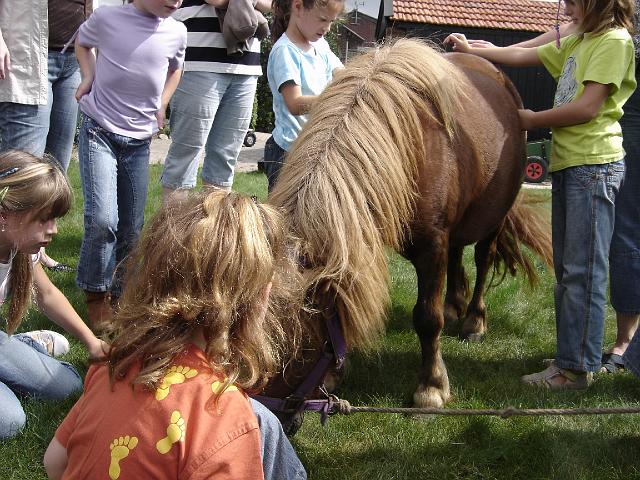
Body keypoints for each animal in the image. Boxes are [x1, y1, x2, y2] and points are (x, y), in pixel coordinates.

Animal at [264, 37, 552, 414]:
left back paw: (474, 320)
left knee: (483, 259)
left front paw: (431, 387)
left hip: (494, 217)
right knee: (458, 255)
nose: (269, 416)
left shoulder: (432, 246)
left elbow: (427, 319)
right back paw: (454, 304)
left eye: (291, 347)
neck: (406, 146)